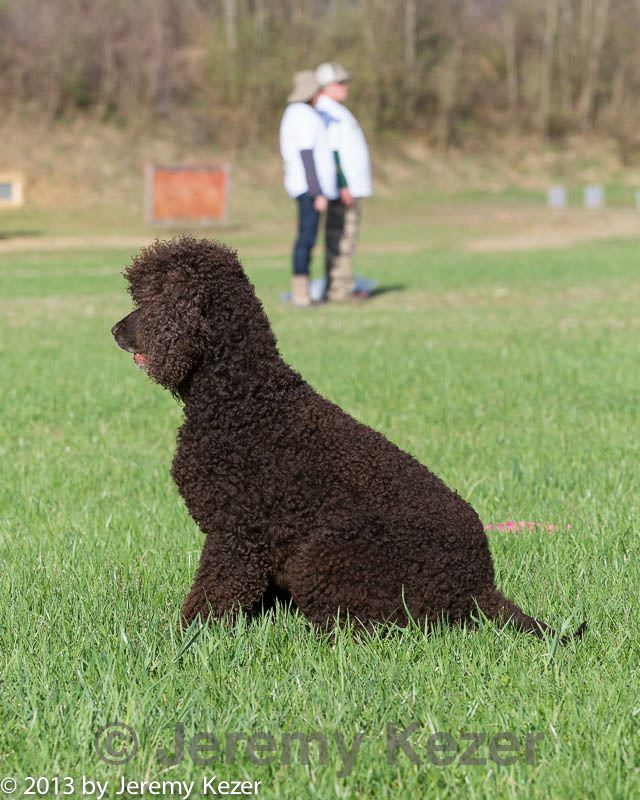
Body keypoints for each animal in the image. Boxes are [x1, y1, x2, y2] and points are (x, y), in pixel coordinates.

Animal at [111, 238, 584, 644]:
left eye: (149, 301)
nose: (114, 330)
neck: (244, 396)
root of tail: (479, 586)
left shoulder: (236, 534)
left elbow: (209, 599)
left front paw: (181, 640)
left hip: (321, 553)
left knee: (362, 629)